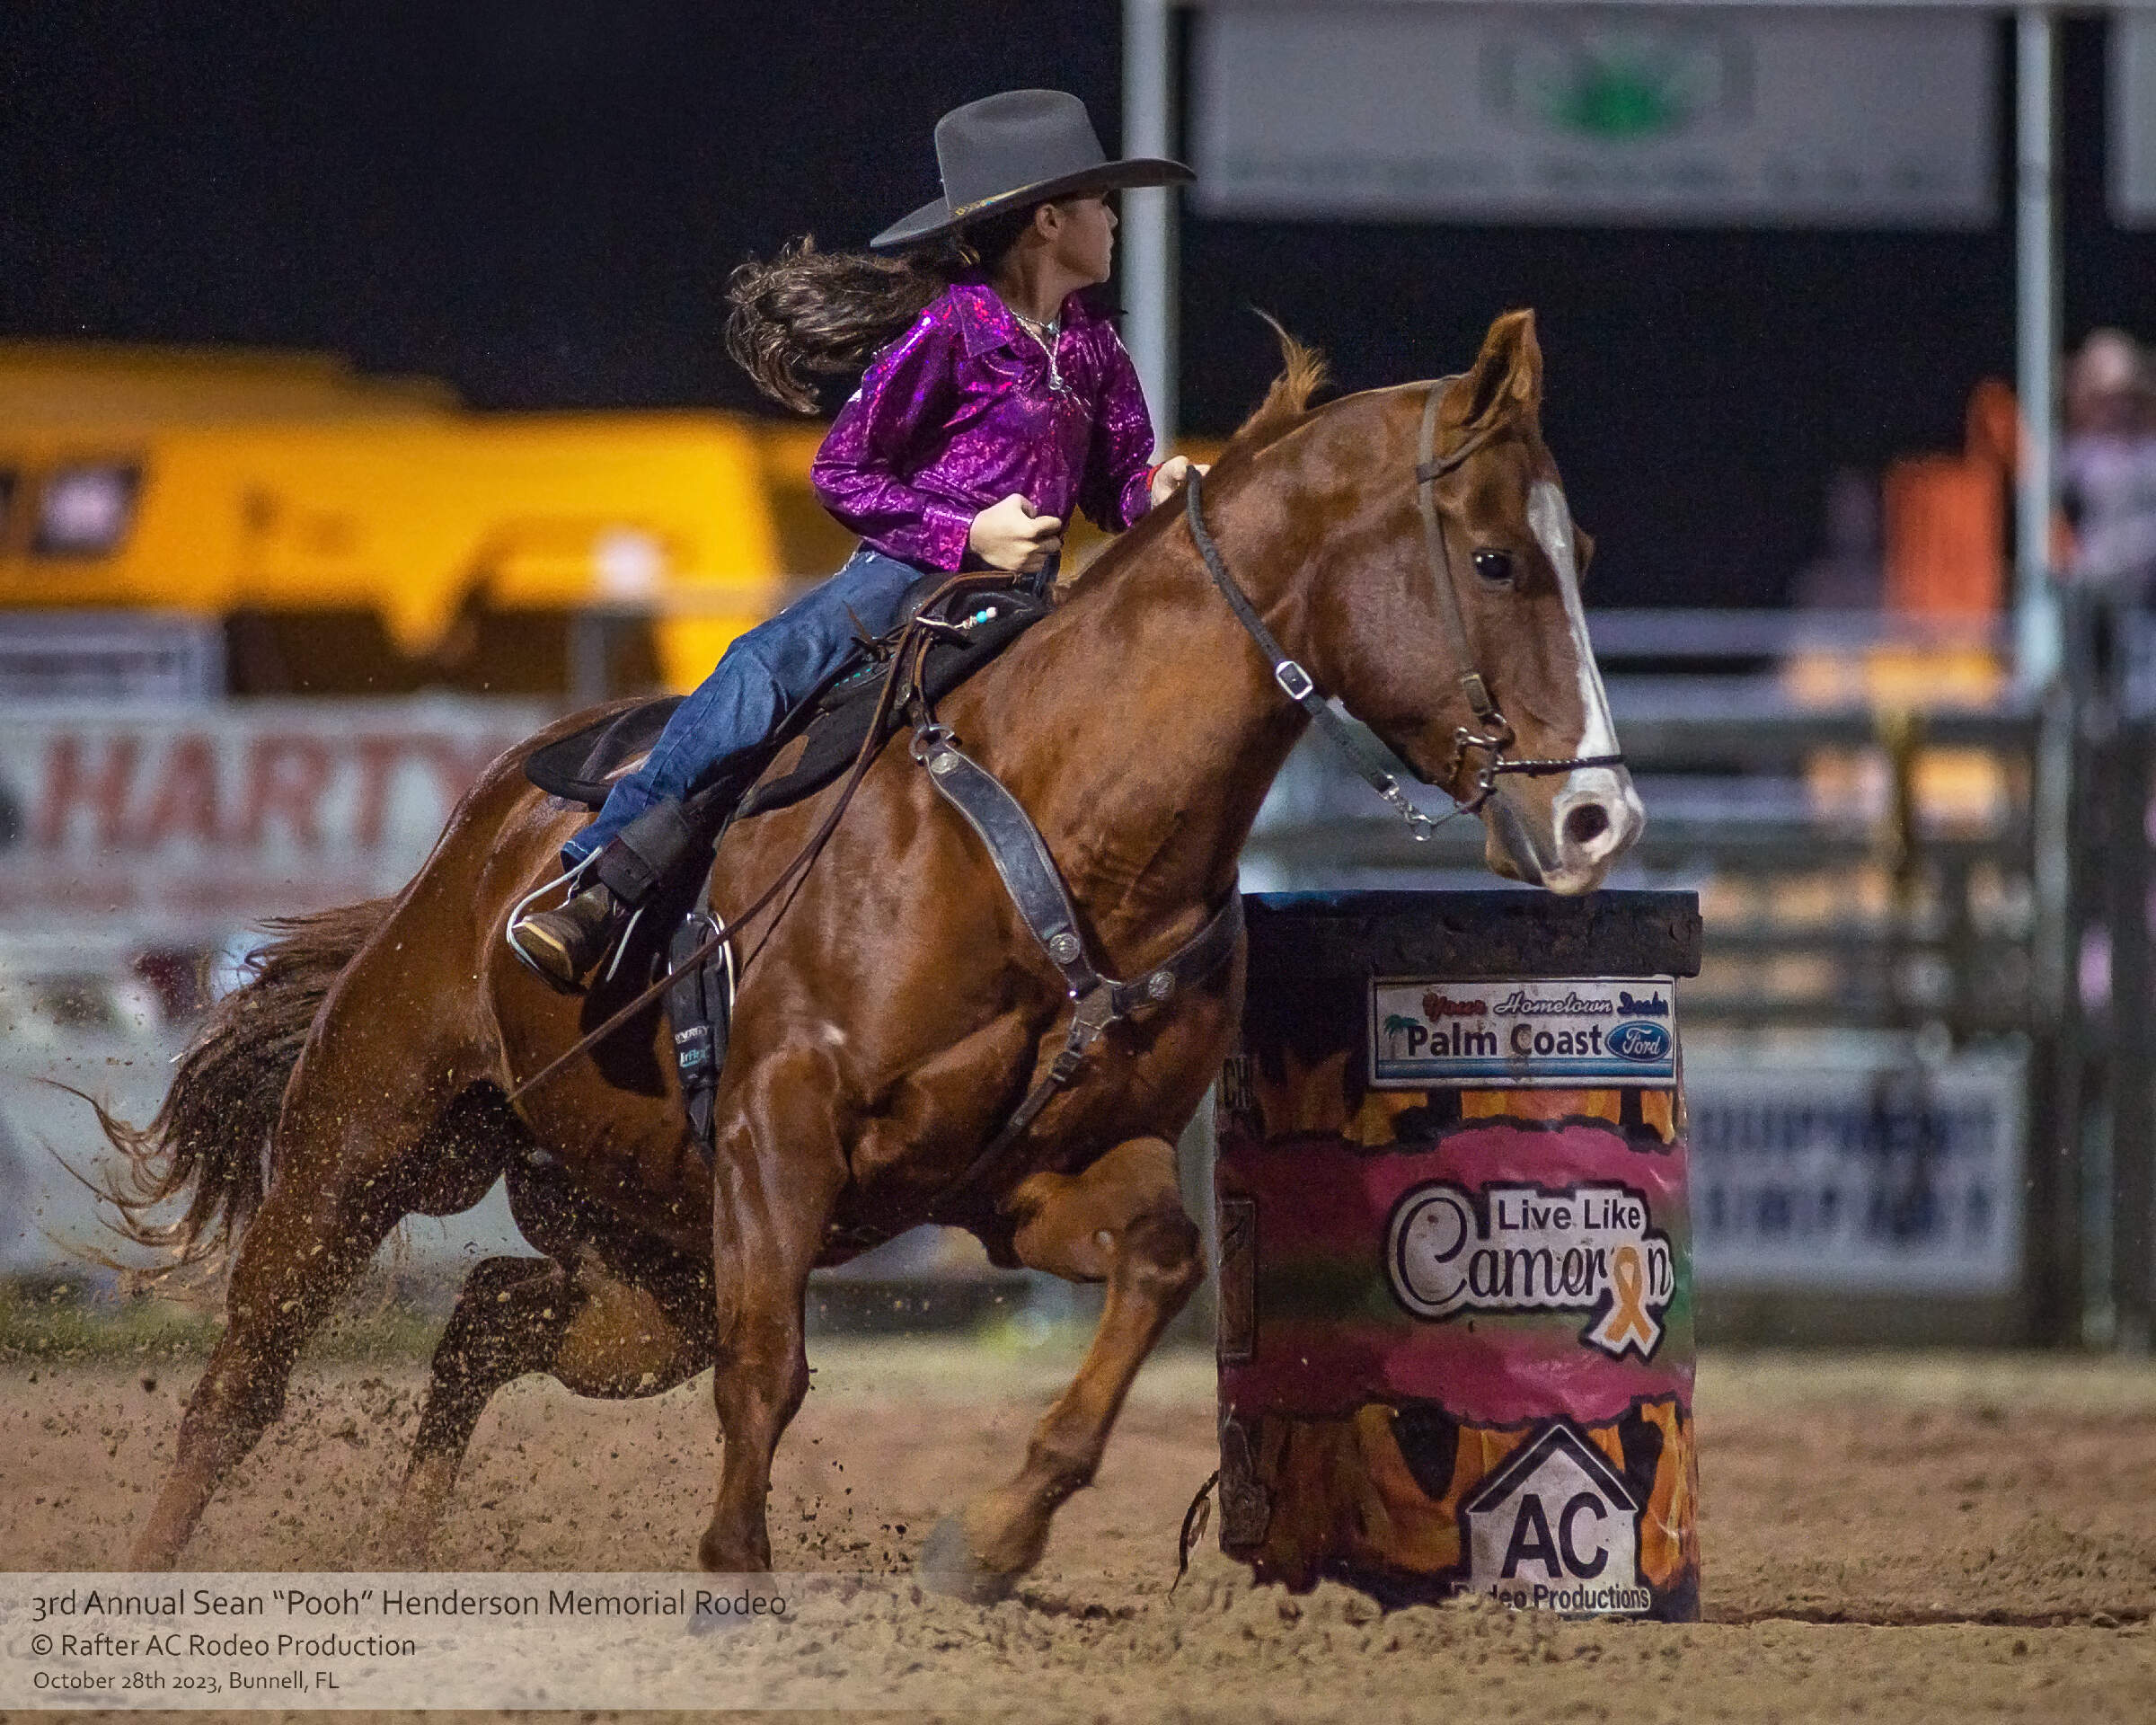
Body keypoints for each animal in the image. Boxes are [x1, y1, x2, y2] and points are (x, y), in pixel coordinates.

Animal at [103, 309, 1642, 1595]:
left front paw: (996, 1539)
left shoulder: (1039, 1178)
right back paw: (153, 1572)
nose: (1598, 818)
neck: (1065, 817)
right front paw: (737, 1577)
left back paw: (407, 1552)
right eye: (1497, 558)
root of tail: (476, 848)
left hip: (639, 1262)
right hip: (369, 1138)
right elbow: (770, 1374)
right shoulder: (779, 1132)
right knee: (245, 1383)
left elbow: (1160, 1263)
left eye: (1582, 559)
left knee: (487, 1319)